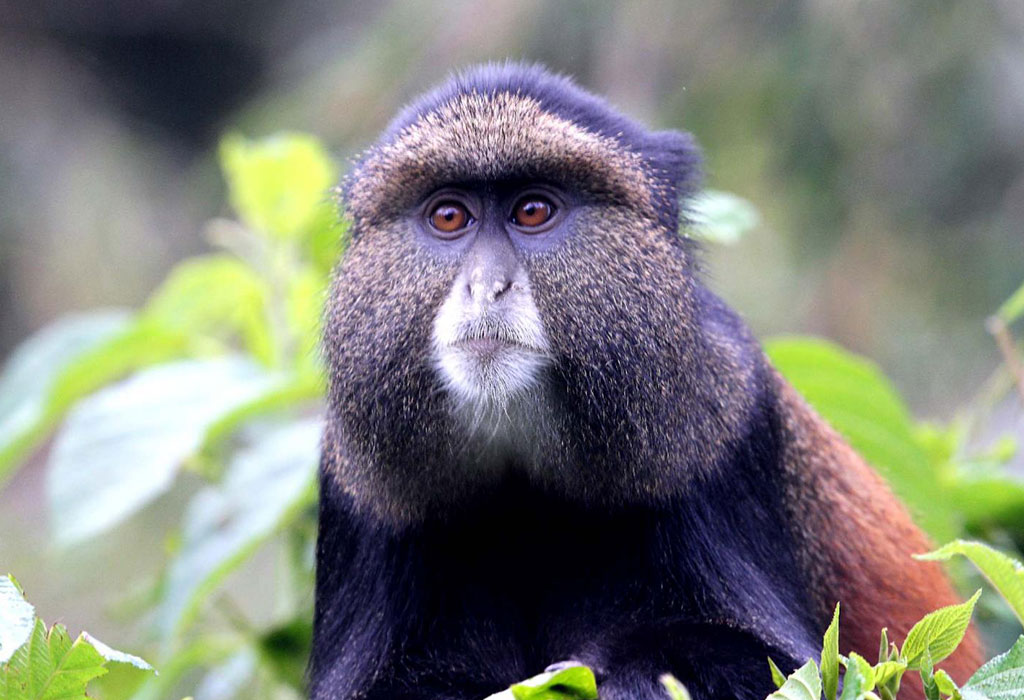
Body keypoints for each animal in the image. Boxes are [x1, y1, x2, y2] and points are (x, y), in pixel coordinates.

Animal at [311, 62, 982, 700]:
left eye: (532, 211)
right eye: (449, 216)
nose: (486, 286)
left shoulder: (726, 431)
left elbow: (795, 668)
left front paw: (615, 673)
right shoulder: (357, 491)